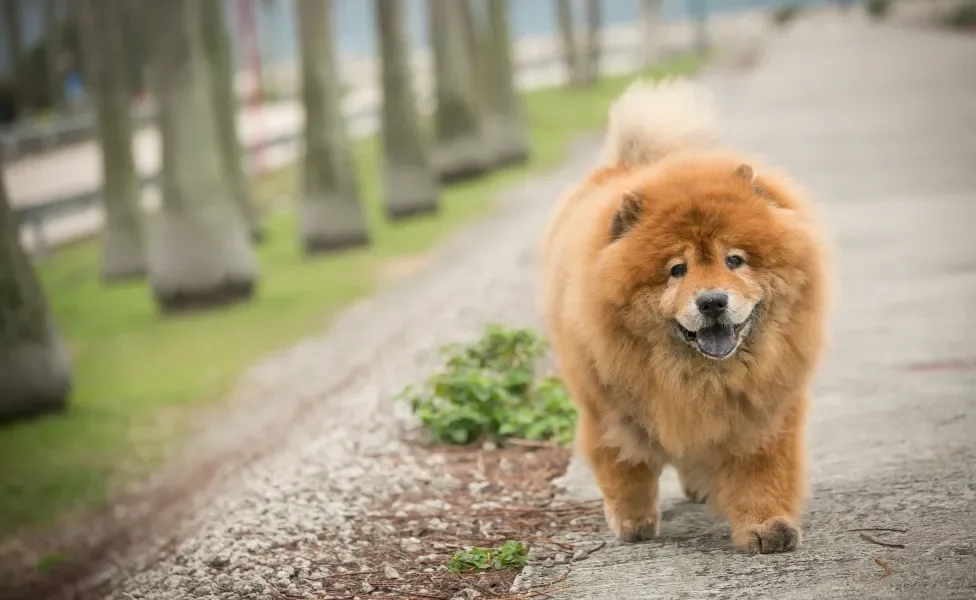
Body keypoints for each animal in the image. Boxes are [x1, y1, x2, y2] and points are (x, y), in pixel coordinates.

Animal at [540, 78, 832, 552]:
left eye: (735, 260)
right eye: (677, 270)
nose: (711, 301)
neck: (701, 378)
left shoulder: (764, 413)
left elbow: (763, 472)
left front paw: (767, 526)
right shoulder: (611, 412)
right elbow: (626, 468)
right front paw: (633, 522)